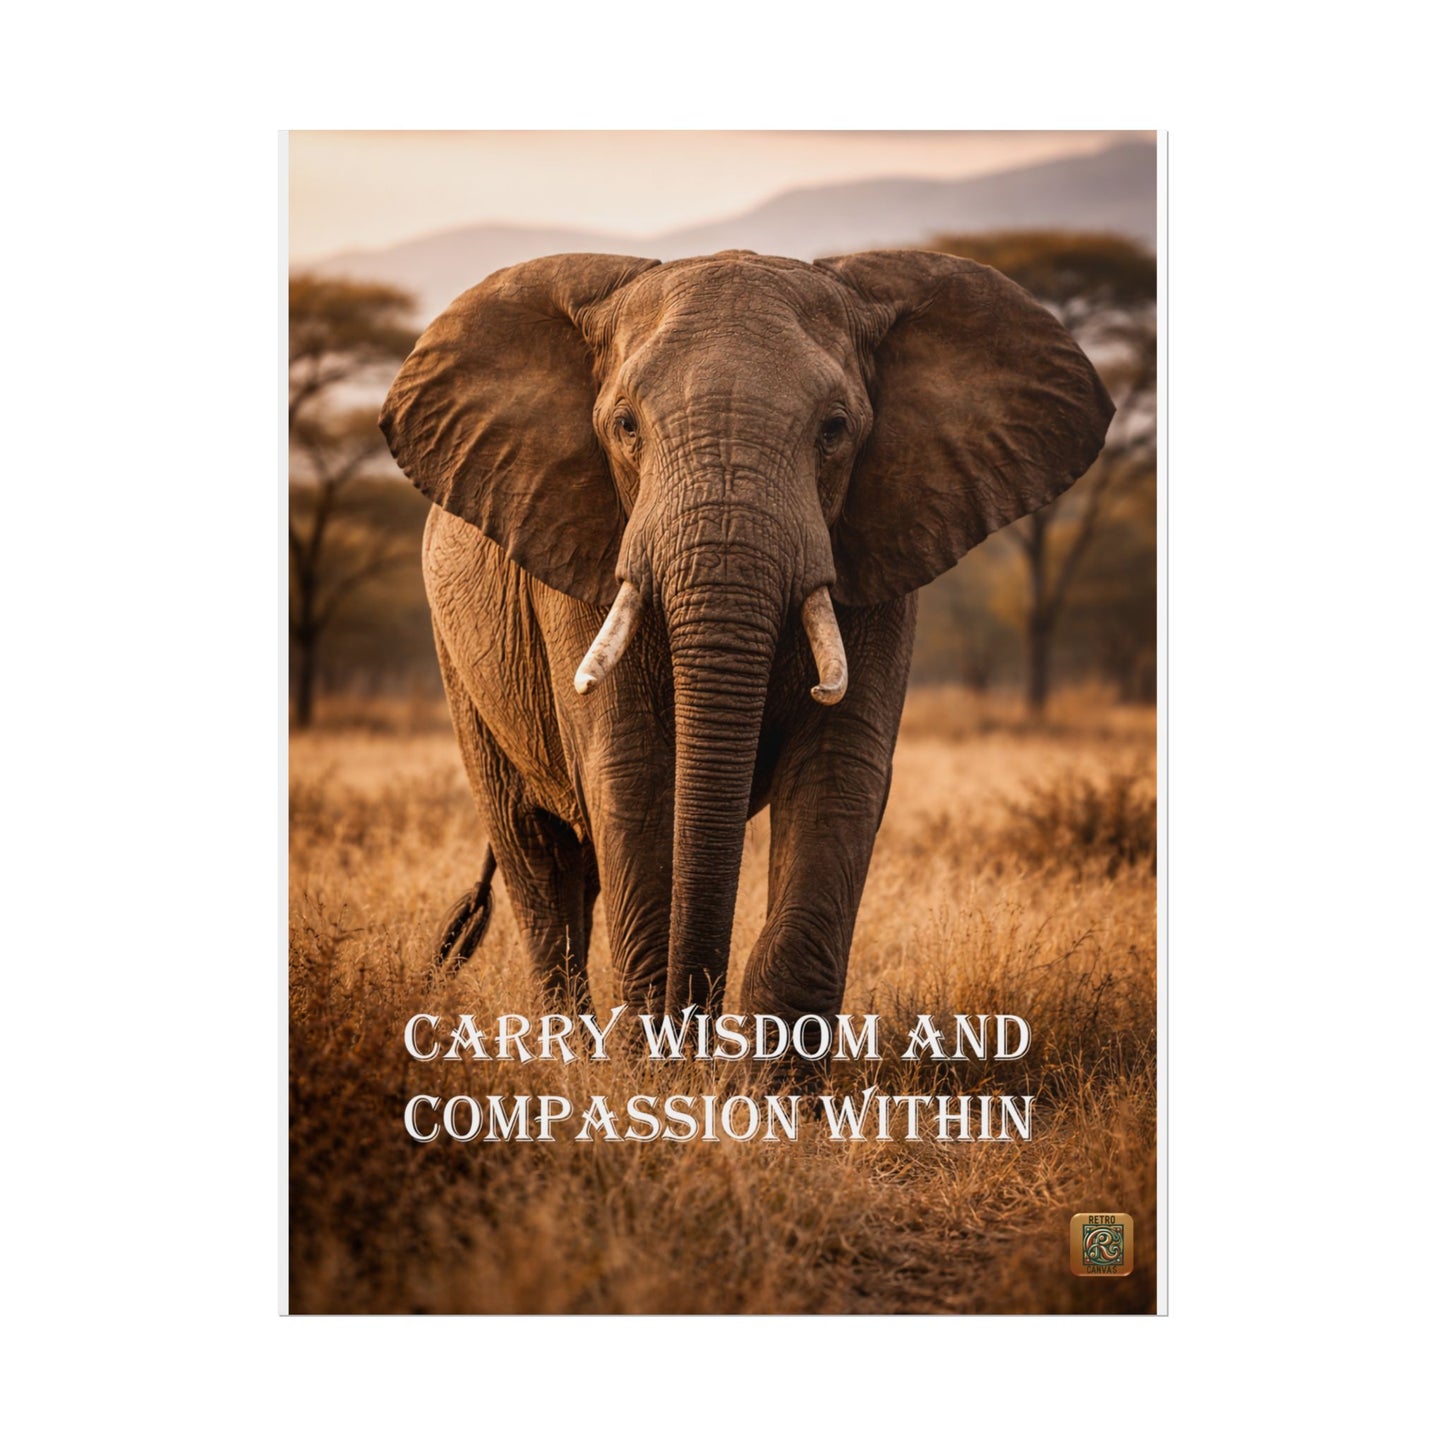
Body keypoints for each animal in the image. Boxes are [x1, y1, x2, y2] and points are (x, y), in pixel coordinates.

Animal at [379, 248, 1112, 1031]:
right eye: (625, 426)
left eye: (835, 428)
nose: (696, 1020)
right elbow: (630, 772)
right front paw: (657, 1054)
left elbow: (838, 776)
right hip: (459, 663)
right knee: (538, 856)